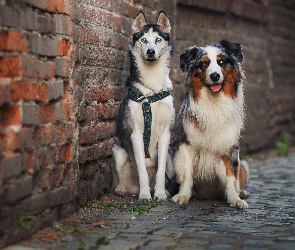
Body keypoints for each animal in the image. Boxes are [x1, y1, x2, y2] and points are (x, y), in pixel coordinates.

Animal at [112, 11, 175, 201]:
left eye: (158, 40)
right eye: (144, 40)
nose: (150, 52)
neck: (152, 89)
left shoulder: (165, 134)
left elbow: (160, 171)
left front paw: (160, 194)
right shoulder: (136, 135)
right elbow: (142, 170)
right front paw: (145, 194)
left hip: (172, 156)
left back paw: (163, 191)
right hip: (118, 152)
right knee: (120, 179)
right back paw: (122, 189)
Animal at [172, 39, 251, 209]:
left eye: (221, 62)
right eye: (204, 64)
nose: (215, 76)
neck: (214, 103)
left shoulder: (230, 147)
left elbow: (231, 176)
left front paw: (235, 199)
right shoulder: (187, 145)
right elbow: (187, 173)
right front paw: (183, 196)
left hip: (243, 164)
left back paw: (241, 193)